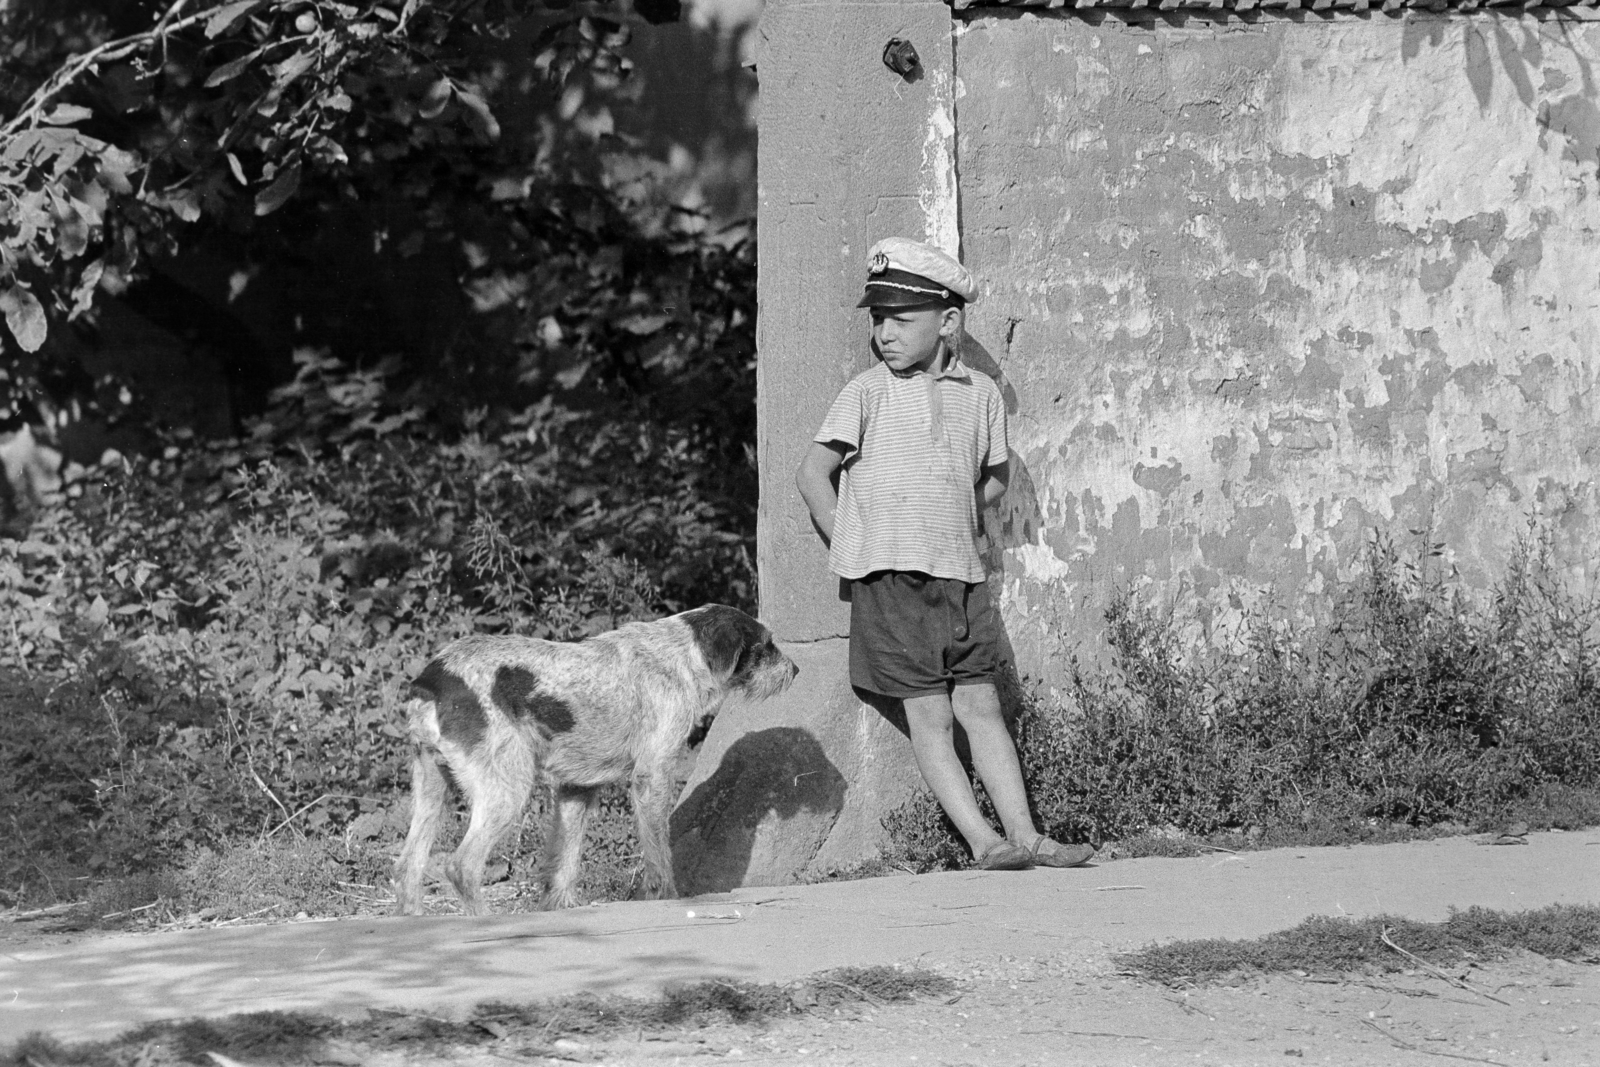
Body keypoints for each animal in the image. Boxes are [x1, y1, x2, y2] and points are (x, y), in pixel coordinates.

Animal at [396, 604, 796, 915]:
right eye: (766, 645)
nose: (795, 670)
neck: (681, 657)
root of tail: (431, 680)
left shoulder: (577, 788)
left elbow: (564, 862)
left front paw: (559, 908)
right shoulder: (652, 776)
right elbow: (659, 854)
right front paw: (665, 899)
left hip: (431, 787)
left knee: (408, 863)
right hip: (506, 790)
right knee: (461, 865)